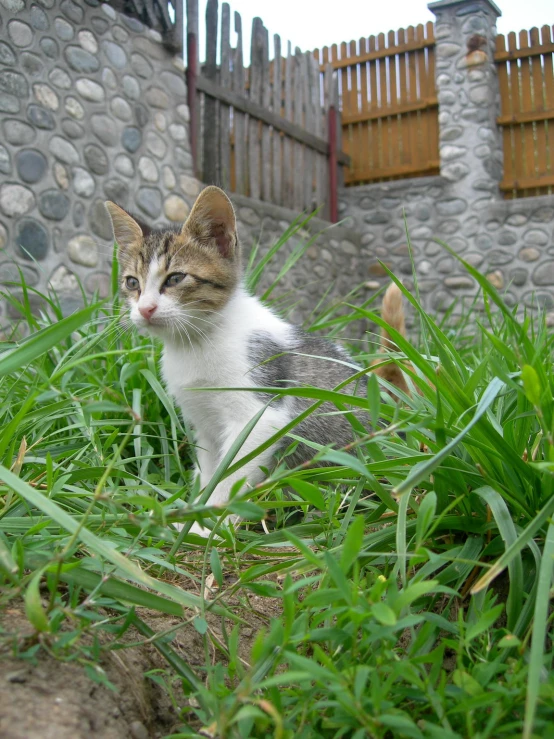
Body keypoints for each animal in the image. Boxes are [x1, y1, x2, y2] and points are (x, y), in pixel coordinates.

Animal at [105, 189, 408, 536]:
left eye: (176, 278)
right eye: (132, 283)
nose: (145, 309)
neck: (193, 343)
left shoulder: (260, 414)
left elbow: (231, 475)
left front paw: (211, 526)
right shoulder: (205, 427)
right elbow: (209, 471)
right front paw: (194, 516)